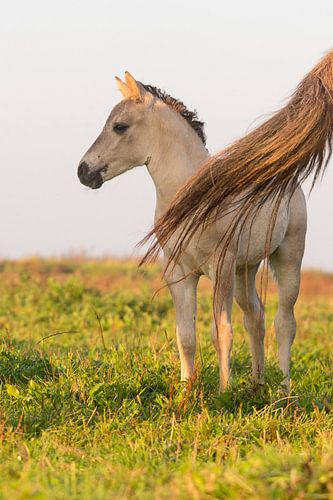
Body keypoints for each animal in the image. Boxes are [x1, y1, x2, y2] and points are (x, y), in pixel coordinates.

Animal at [78, 72, 306, 390]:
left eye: (119, 126)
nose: (83, 171)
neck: (193, 197)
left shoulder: (220, 266)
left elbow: (221, 331)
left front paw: (224, 392)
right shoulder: (178, 271)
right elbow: (185, 335)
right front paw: (186, 391)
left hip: (287, 257)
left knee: (284, 322)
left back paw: (284, 391)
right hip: (245, 269)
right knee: (255, 317)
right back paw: (256, 386)